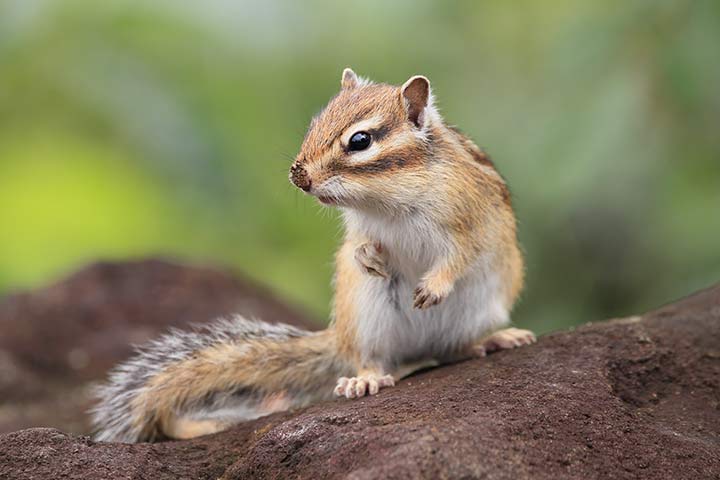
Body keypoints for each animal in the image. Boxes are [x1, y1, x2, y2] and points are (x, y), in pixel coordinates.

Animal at [91, 68, 535, 443]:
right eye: (314, 124)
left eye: (360, 140)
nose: (298, 175)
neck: (391, 200)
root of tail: (338, 338)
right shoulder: (361, 228)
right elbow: (357, 247)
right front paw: (368, 259)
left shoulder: (470, 219)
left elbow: (460, 256)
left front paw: (433, 287)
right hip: (368, 317)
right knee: (375, 359)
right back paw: (366, 379)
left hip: (480, 307)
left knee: (452, 350)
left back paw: (493, 340)